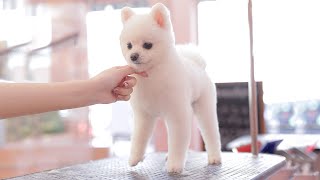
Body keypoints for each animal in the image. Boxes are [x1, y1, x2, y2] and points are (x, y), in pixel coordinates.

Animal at [119, 2, 221, 173]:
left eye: (147, 45)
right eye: (129, 45)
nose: (133, 56)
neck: (153, 75)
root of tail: (198, 64)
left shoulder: (177, 114)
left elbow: (178, 142)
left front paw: (174, 165)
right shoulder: (144, 116)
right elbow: (139, 138)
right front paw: (135, 158)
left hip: (204, 107)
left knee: (211, 133)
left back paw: (214, 157)